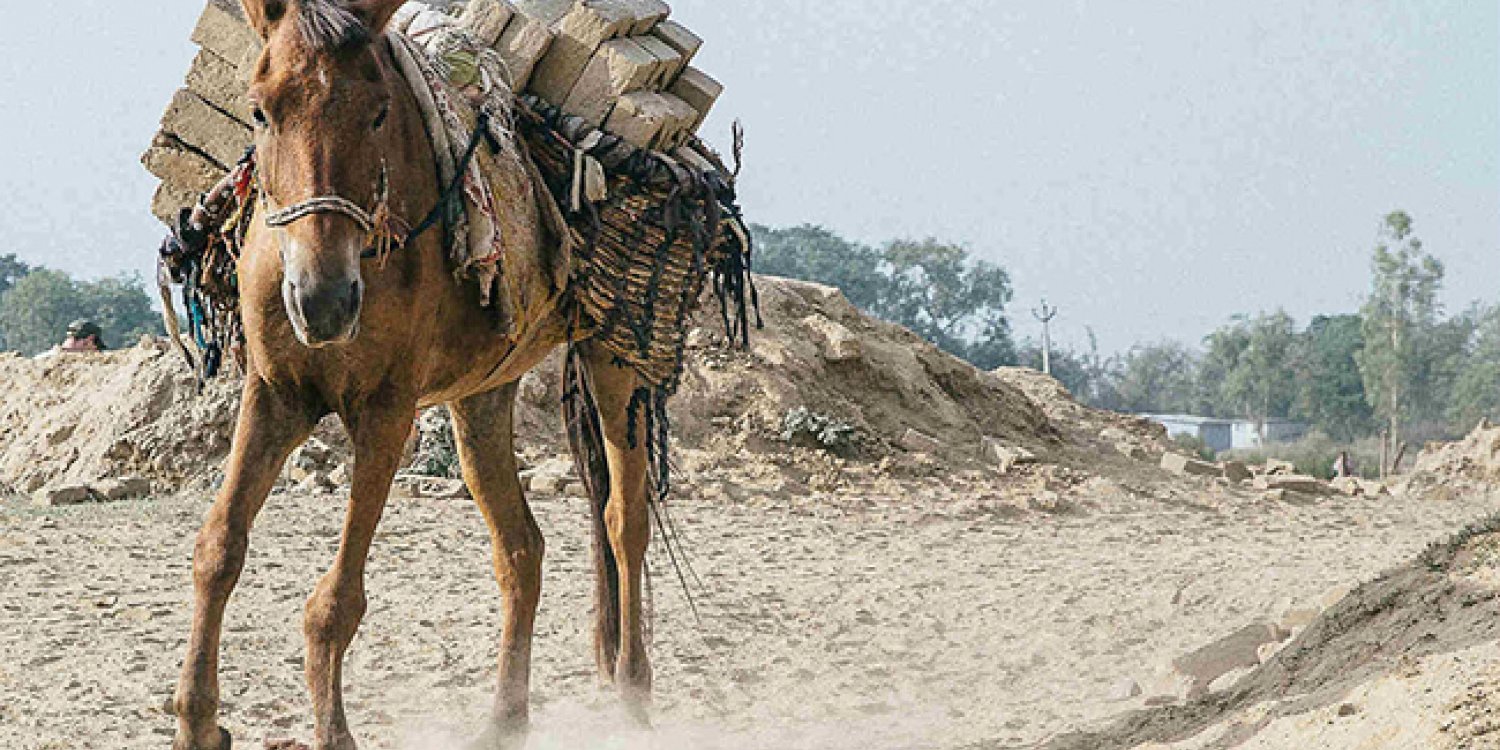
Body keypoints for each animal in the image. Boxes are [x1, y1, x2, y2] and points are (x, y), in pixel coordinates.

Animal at [171, 1, 658, 747]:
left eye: (378, 112)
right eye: (259, 111)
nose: (323, 300)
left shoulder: (386, 410)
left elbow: (337, 601)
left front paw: (333, 734)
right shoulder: (277, 393)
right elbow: (218, 547)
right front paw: (198, 723)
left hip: (617, 360)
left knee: (623, 520)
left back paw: (633, 696)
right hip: (482, 396)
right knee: (522, 547)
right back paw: (505, 720)